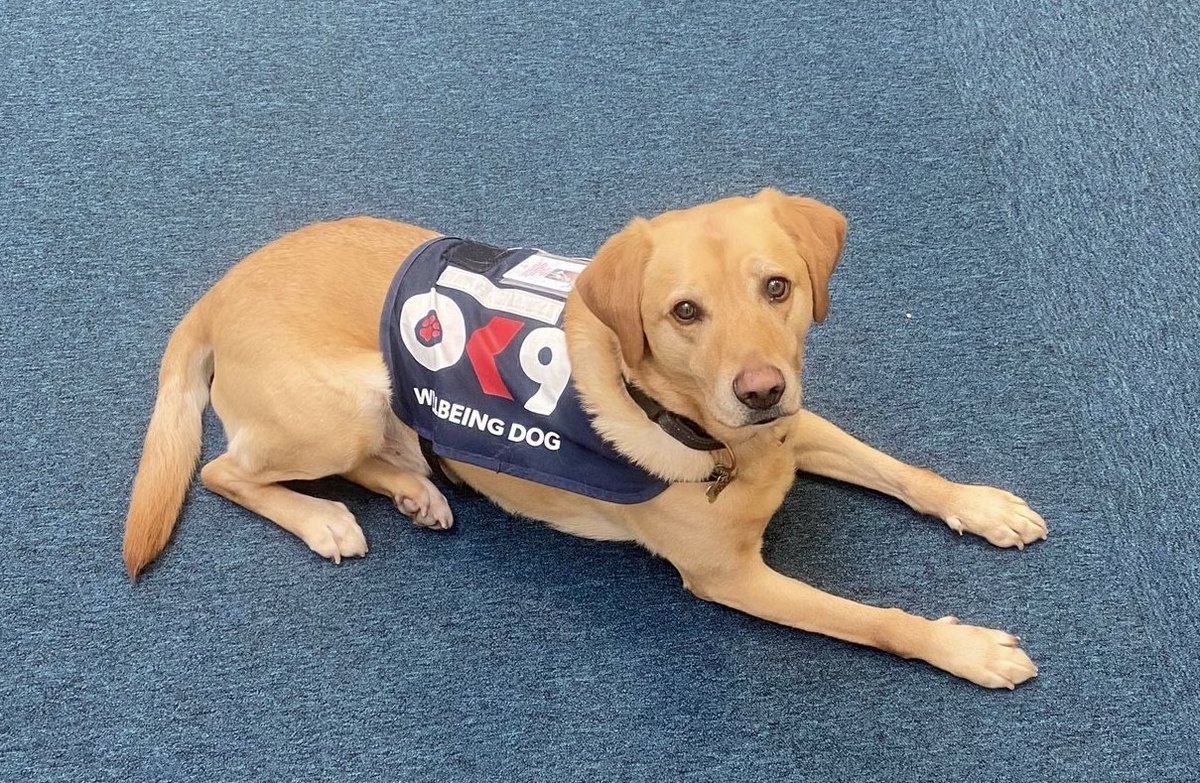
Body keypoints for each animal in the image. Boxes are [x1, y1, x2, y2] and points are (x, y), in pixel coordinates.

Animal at [126, 192, 1051, 686]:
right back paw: (325, 518)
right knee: (224, 471)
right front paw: (962, 644)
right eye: (685, 312)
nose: (758, 389)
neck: (718, 442)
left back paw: (417, 489)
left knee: (371, 458)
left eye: (778, 288)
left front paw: (981, 505)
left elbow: (907, 473)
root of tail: (218, 289)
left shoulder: (798, 425)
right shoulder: (733, 578)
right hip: (343, 403)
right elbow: (878, 622)